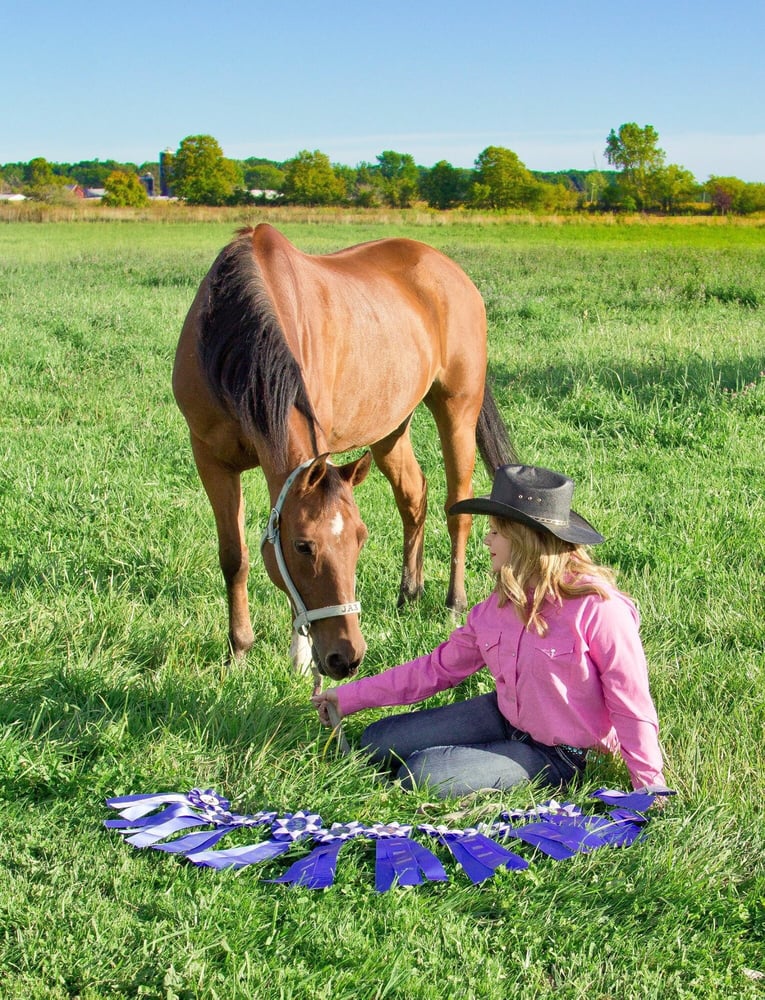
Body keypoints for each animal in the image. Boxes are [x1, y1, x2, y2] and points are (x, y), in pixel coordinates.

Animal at [172, 223, 514, 687]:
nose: (347, 658)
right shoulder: (211, 460)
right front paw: (239, 651)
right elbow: (235, 558)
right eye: (302, 546)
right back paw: (409, 594)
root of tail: (452, 272)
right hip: (391, 428)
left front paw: (299, 659)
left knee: (456, 507)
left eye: (359, 538)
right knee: (414, 497)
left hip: (458, 409)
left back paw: (454, 603)